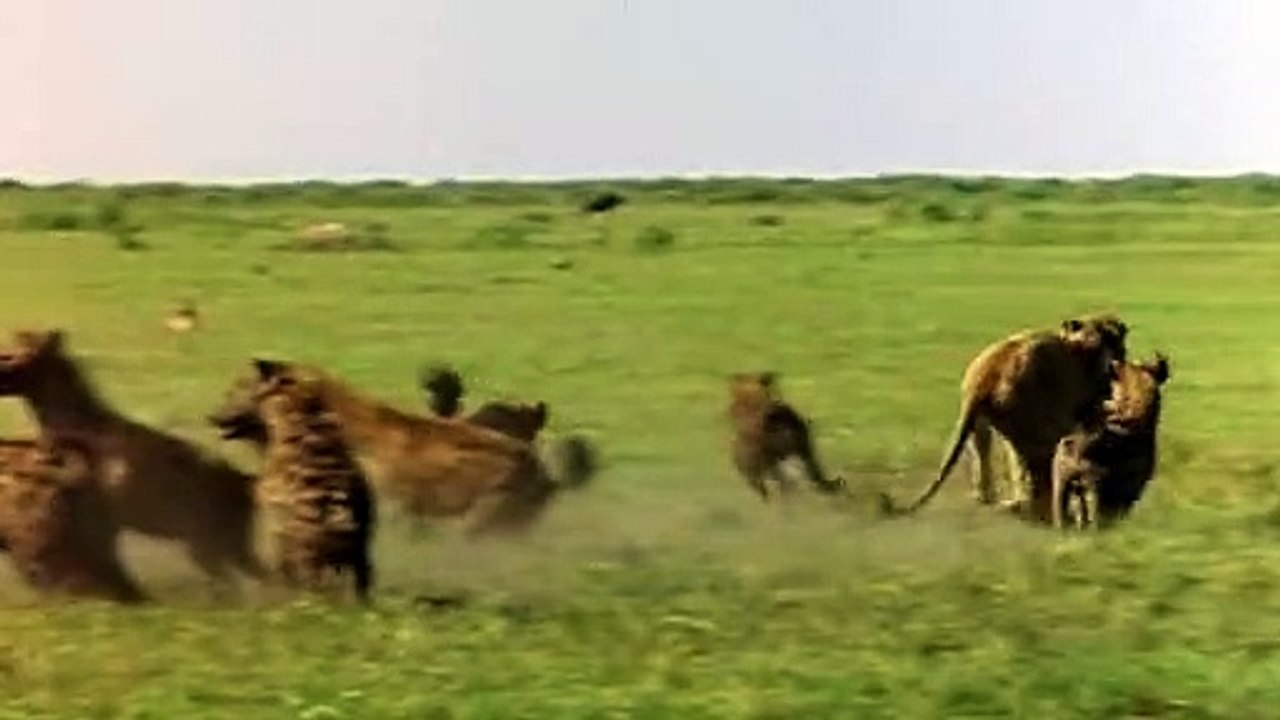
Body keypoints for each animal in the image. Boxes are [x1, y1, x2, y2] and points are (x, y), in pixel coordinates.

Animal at [247, 360, 375, 602]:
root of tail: (335, 507)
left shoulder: (273, 516)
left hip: (306, 548)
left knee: (312, 582)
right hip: (358, 547)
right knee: (360, 579)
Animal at [882, 313, 1129, 522]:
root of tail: (981, 380)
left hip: (996, 412)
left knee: (987, 446)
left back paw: (991, 501)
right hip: (1022, 407)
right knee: (1034, 455)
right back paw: (1043, 512)